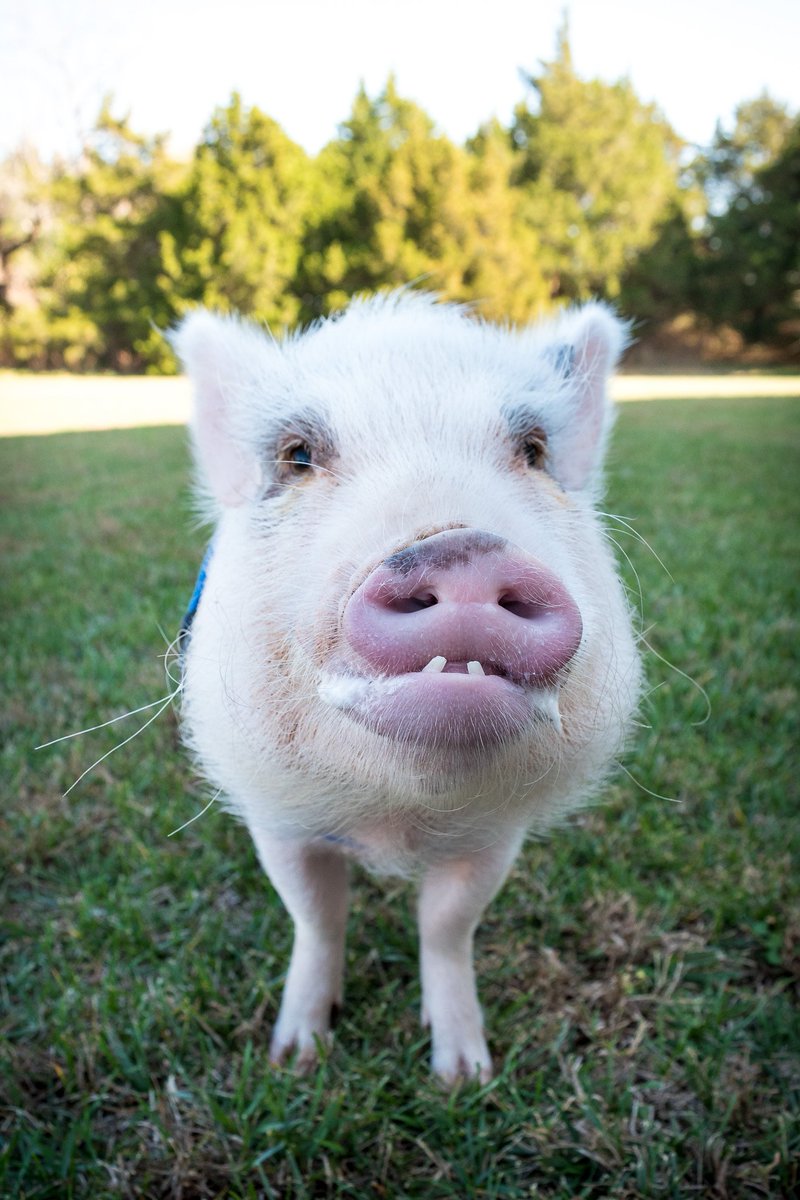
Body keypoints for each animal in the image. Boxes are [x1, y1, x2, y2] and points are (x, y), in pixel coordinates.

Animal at [171, 291, 642, 1085]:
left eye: (533, 450)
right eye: (297, 455)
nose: (462, 550)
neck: (396, 821)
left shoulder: (494, 836)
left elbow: (447, 926)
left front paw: (464, 1077)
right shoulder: (279, 820)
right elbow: (316, 916)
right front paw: (296, 1058)